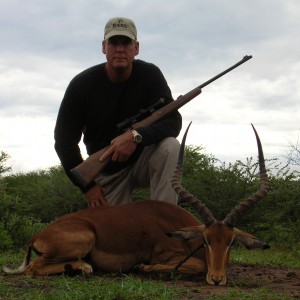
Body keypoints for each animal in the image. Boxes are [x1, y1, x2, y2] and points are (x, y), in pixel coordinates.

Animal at [2, 124, 270, 286]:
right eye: (206, 240)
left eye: (231, 242)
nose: (216, 279)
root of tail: (37, 235)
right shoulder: (170, 254)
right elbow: (194, 264)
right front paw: (140, 267)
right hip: (83, 239)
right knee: (32, 267)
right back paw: (82, 268)